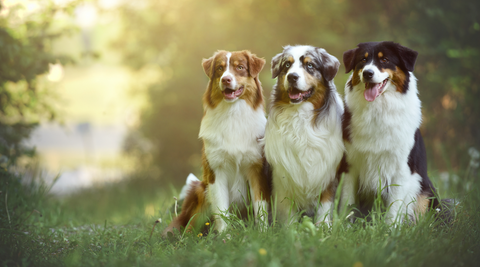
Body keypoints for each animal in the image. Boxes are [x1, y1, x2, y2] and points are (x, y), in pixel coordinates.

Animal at [164, 49, 270, 234]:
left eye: (240, 67)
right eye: (220, 69)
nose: (225, 79)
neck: (233, 114)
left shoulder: (256, 168)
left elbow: (260, 206)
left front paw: (263, 233)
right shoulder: (216, 171)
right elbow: (221, 210)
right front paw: (224, 236)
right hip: (202, 190)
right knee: (191, 226)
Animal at [262, 46, 344, 226]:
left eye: (310, 65)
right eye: (287, 65)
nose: (292, 76)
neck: (300, 116)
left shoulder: (327, 174)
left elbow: (324, 210)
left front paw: (323, 229)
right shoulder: (282, 178)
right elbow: (288, 214)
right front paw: (290, 230)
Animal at [340, 40, 440, 223]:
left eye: (385, 60)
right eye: (363, 60)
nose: (368, 73)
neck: (378, 109)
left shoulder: (401, 169)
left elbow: (394, 208)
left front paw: (389, 229)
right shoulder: (351, 164)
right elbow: (347, 201)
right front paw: (344, 225)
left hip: (425, 189)